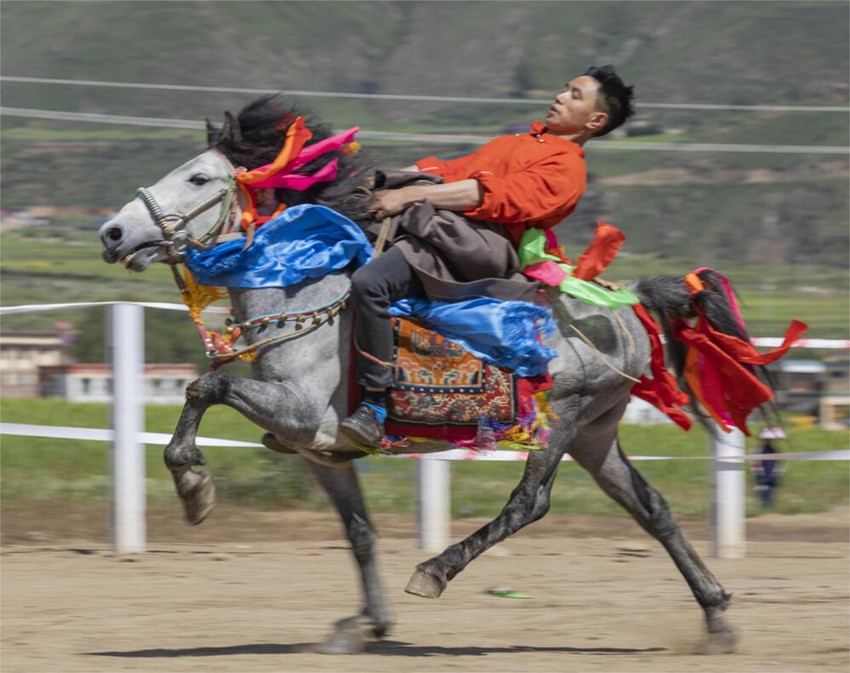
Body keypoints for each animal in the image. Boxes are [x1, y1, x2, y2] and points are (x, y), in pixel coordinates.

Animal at [99, 95, 744, 654]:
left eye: (199, 179)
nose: (112, 233)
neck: (306, 289)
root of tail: (628, 301)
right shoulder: (318, 451)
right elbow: (359, 532)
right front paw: (365, 625)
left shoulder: (301, 414)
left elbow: (206, 385)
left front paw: (194, 488)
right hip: (595, 431)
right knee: (650, 506)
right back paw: (716, 617)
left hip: (561, 419)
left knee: (528, 504)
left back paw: (434, 569)